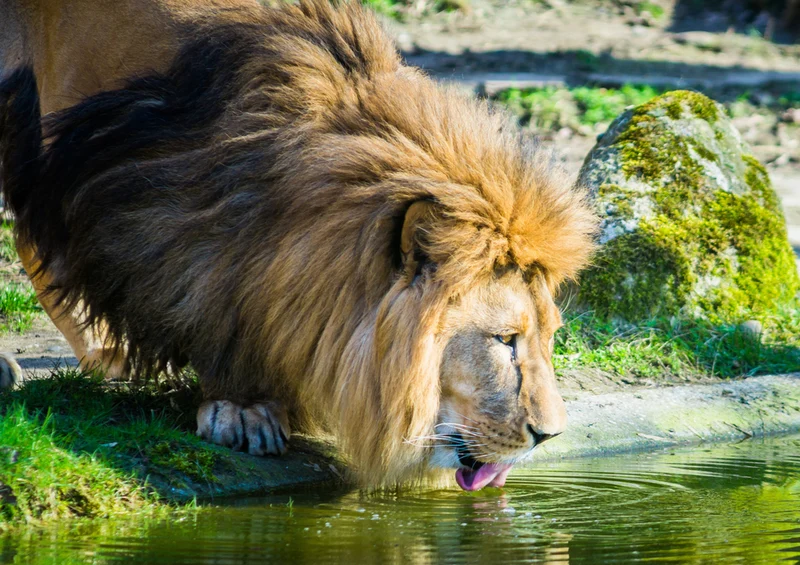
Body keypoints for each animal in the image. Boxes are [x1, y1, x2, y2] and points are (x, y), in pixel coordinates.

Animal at [0, 0, 597, 489]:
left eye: (549, 337)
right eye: (504, 340)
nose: (550, 436)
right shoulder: (154, 204)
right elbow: (207, 302)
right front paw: (242, 407)